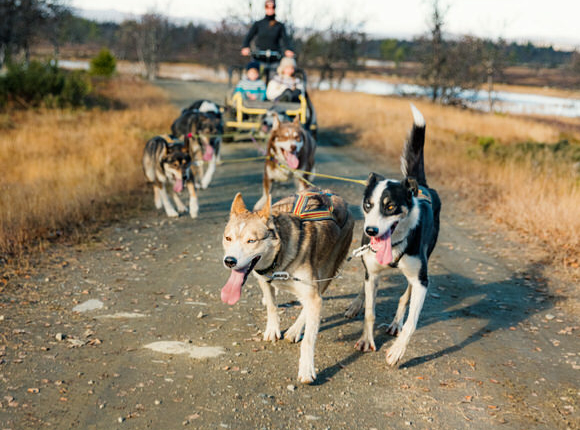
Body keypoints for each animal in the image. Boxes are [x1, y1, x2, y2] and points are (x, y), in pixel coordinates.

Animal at [221, 188, 354, 382]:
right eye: (228, 238)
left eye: (251, 241)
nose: (230, 261)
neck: (279, 259)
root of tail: (333, 194)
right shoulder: (264, 280)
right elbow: (271, 306)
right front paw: (272, 329)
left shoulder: (313, 293)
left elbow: (308, 340)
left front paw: (306, 368)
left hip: (326, 272)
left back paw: (296, 329)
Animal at [344, 104, 444, 366]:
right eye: (368, 205)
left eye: (390, 207)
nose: (371, 231)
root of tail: (419, 185)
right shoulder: (372, 269)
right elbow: (370, 311)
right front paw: (366, 339)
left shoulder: (422, 281)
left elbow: (412, 321)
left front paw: (398, 350)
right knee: (366, 284)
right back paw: (356, 304)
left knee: (404, 296)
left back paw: (395, 324)